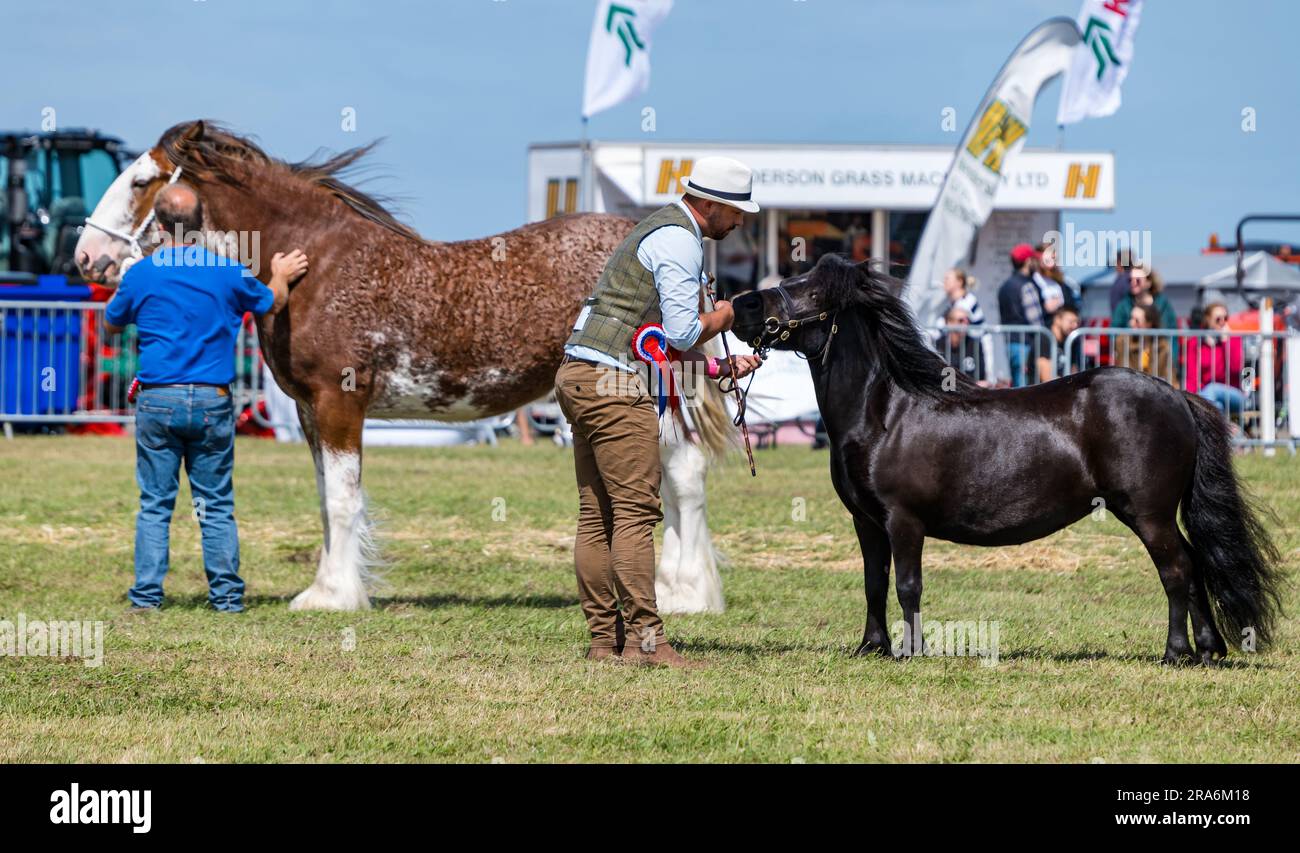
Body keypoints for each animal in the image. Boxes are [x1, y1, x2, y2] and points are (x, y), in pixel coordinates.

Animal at [78, 121, 733, 613]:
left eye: (141, 180)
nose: (88, 255)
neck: (320, 264)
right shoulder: (308, 410)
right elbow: (326, 499)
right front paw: (324, 587)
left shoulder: (340, 402)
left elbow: (343, 500)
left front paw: (336, 597)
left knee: (684, 476)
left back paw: (684, 595)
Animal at [738, 256, 1284, 663]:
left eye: (811, 293)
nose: (743, 304)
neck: (884, 412)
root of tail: (1177, 396)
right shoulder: (867, 522)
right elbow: (876, 582)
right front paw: (872, 647)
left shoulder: (903, 520)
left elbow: (909, 586)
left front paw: (910, 651)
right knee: (1195, 565)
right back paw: (1208, 650)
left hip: (1148, 514)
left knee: (1177, 570)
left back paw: (1176, 652)